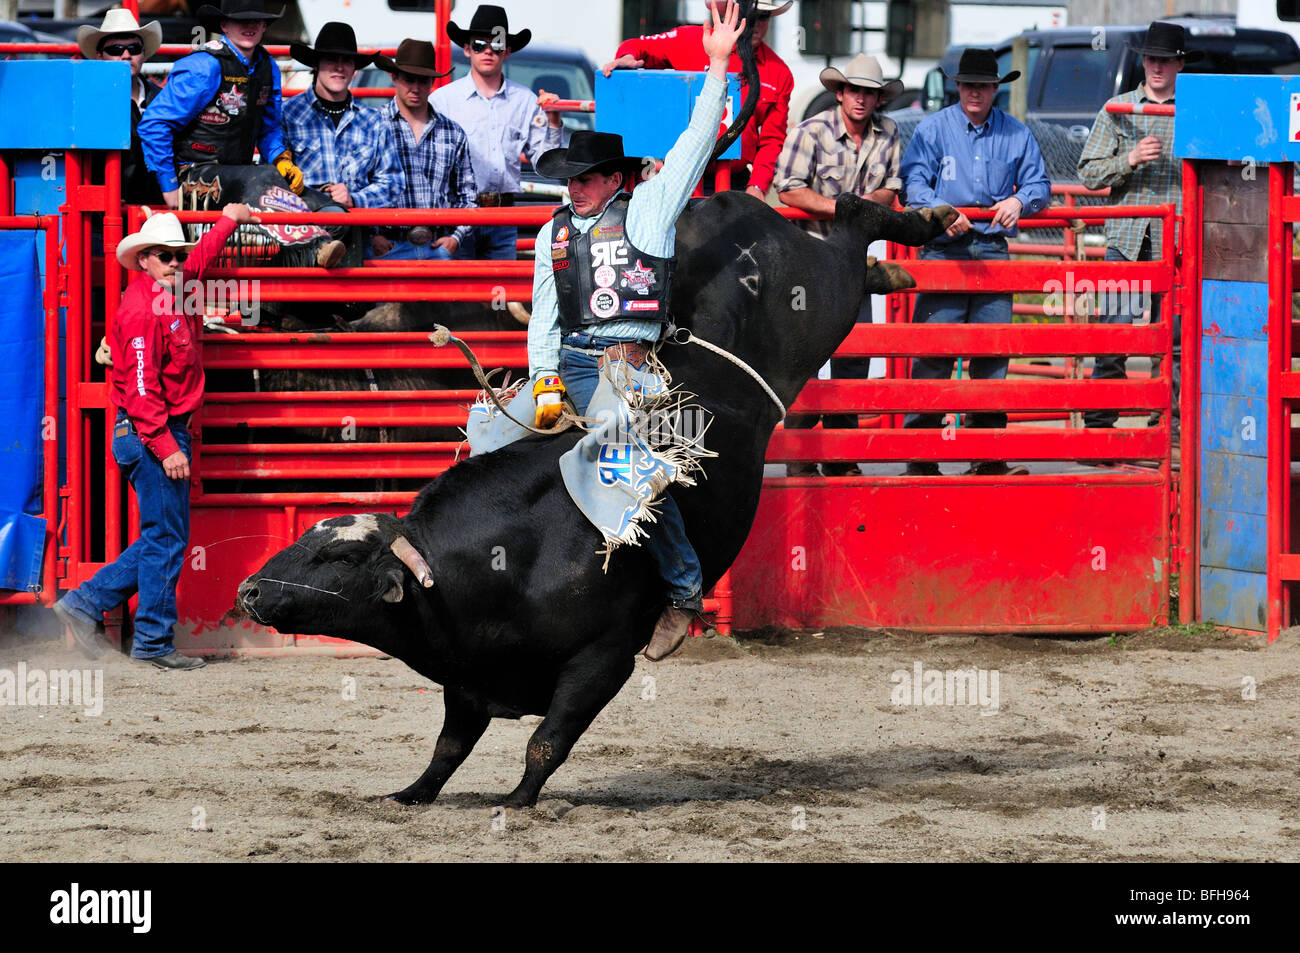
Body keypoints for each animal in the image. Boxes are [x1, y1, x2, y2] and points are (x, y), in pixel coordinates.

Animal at [239, 193, 961, 800]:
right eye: (308, 539)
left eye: (339, 560)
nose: (249, 589)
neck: (503, 560)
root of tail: (728, 205)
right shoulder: (467, 676)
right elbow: (448, 748)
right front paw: (409, 795)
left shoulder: (602, 660)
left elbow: (545, 741)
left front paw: (518, 803)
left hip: (816, 299)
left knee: (851, 227)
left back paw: (915, 230)